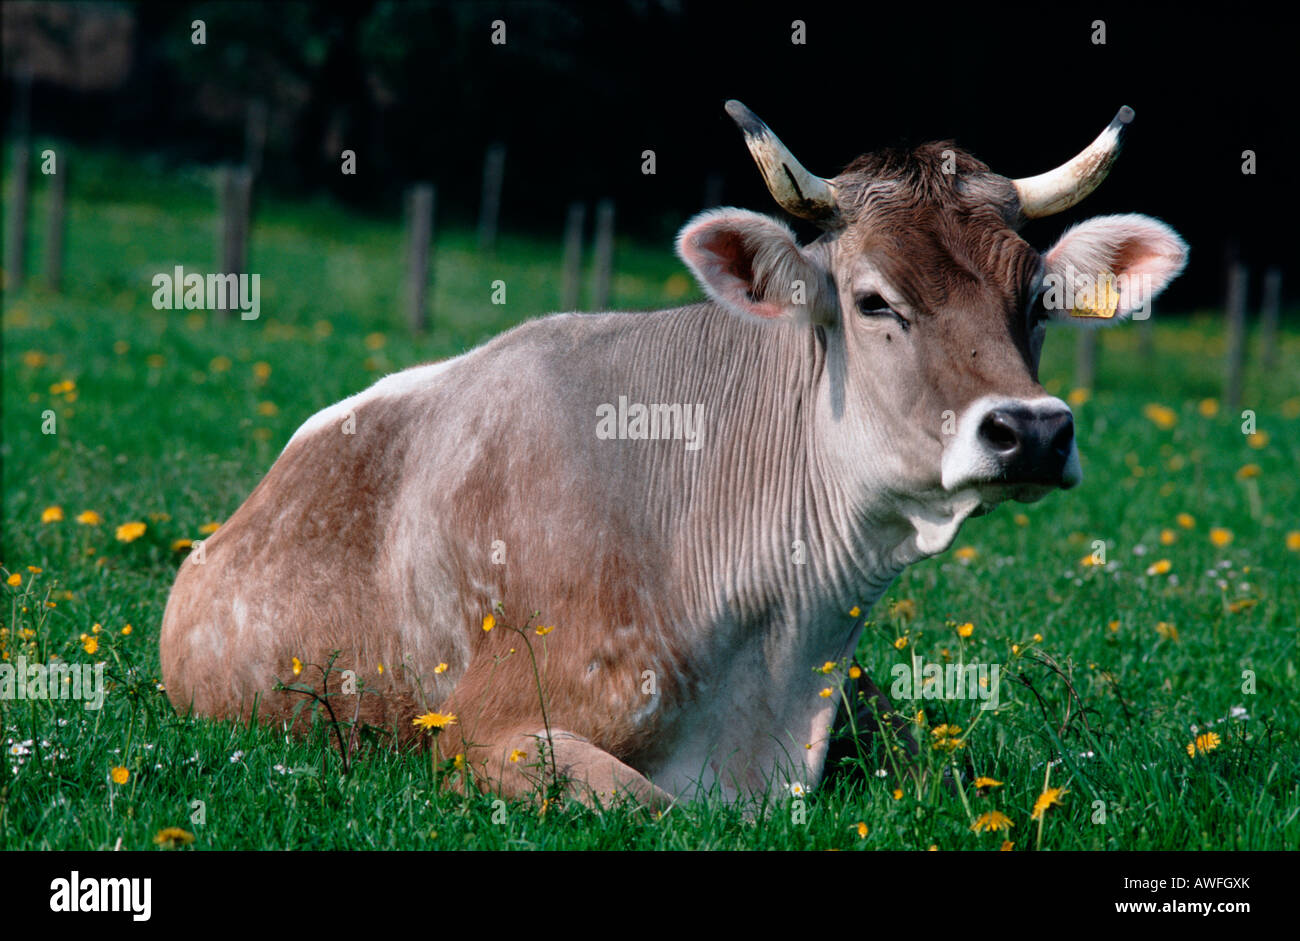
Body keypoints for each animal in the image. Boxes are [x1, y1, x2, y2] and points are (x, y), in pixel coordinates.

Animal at [159, 102, 1190, 811]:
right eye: (873, 300)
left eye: (1038, 298)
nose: (1033, 429)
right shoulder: (485, 731)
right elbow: (652, 807)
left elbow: (940, 765)